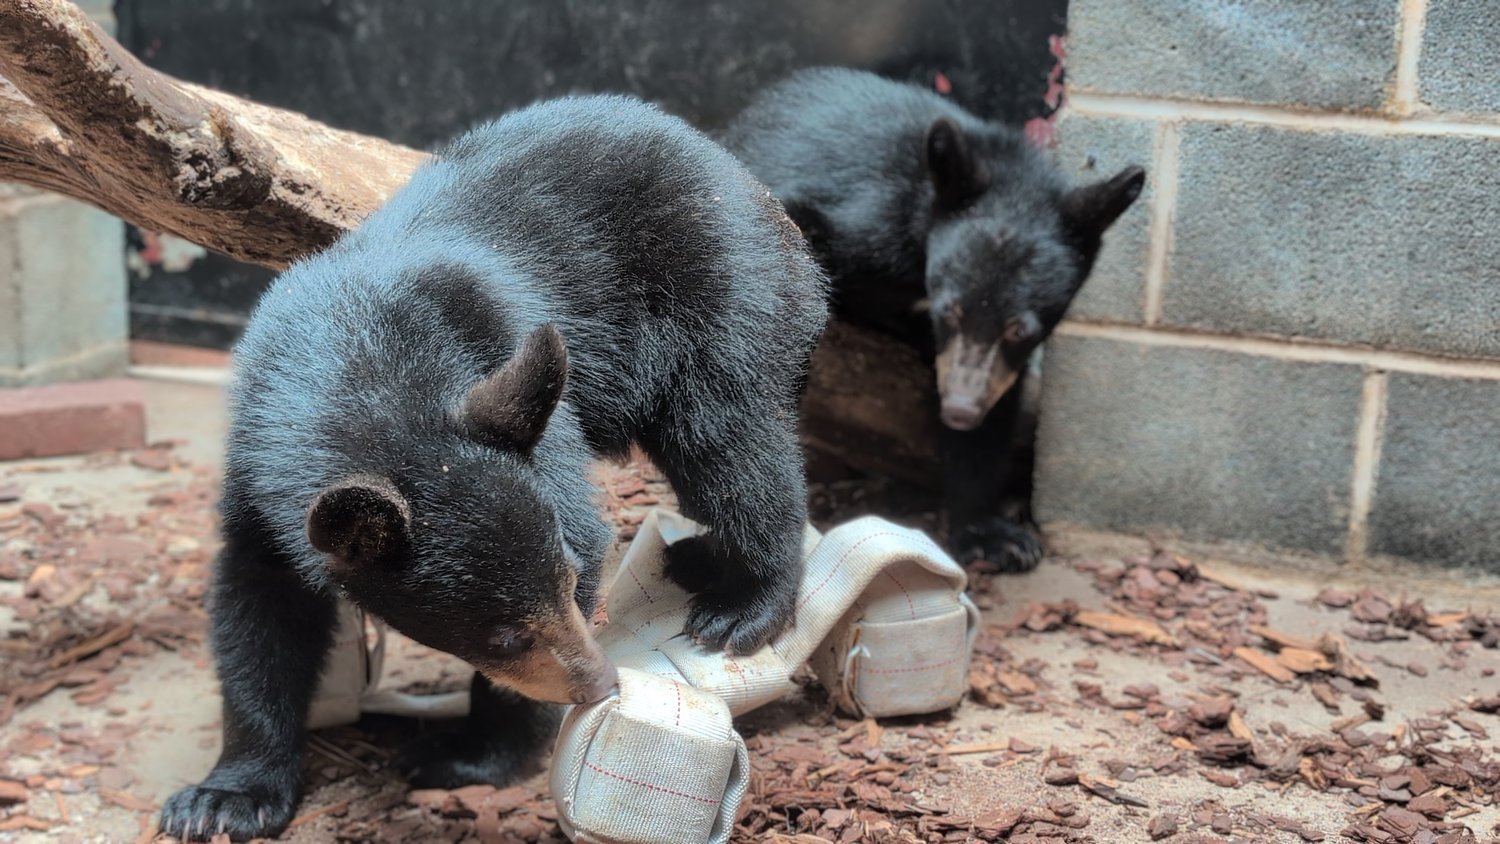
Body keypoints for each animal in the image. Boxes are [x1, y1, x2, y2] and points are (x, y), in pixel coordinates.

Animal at [159, 94, 828, 841]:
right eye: (501, 634)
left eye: (571, 581)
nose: (602, 683)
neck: (358, 361)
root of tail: (747, 183)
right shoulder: (255, 473)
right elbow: (258, 610)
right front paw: (223, 799)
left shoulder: (511, 369)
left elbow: (583, 520)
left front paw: (470, 756)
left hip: (724, 298)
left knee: (733, 444)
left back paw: (741, 607)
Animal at [721, 67, 1144, 573]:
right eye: (949, 311)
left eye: (1020, 329)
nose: (961, 409)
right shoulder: (865, 220)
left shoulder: (997, 365)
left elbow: (997, 413)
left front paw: (991, 534)